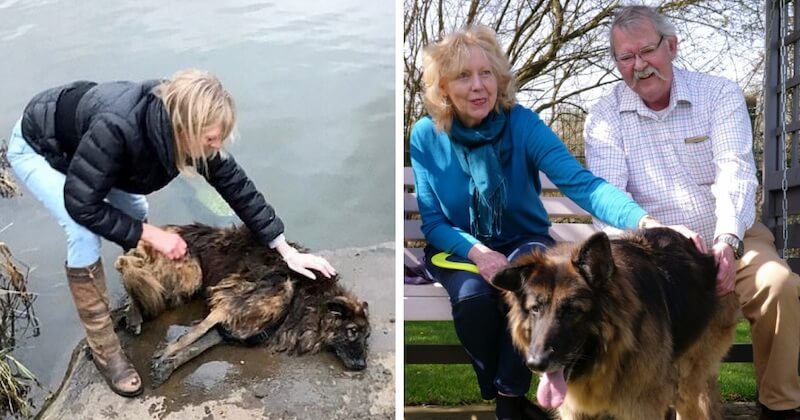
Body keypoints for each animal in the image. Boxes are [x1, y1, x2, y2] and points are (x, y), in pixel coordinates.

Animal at [114, 223, 370, 388]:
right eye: (352, 331)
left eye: (367, 337)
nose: (362, 366)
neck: (304, 297)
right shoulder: (229, 301)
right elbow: (191, 335)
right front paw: (166, 353)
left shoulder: (230, 328)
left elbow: (196, 348)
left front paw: (167, 365)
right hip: (191, 275)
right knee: (128, 268)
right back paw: (133, 313)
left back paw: (128, 316)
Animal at [490, 230, 740, 420]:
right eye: (535, 309)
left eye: (572, 311)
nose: (536, 364)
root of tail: (706, 256)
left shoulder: (641, 408)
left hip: (687, 381)